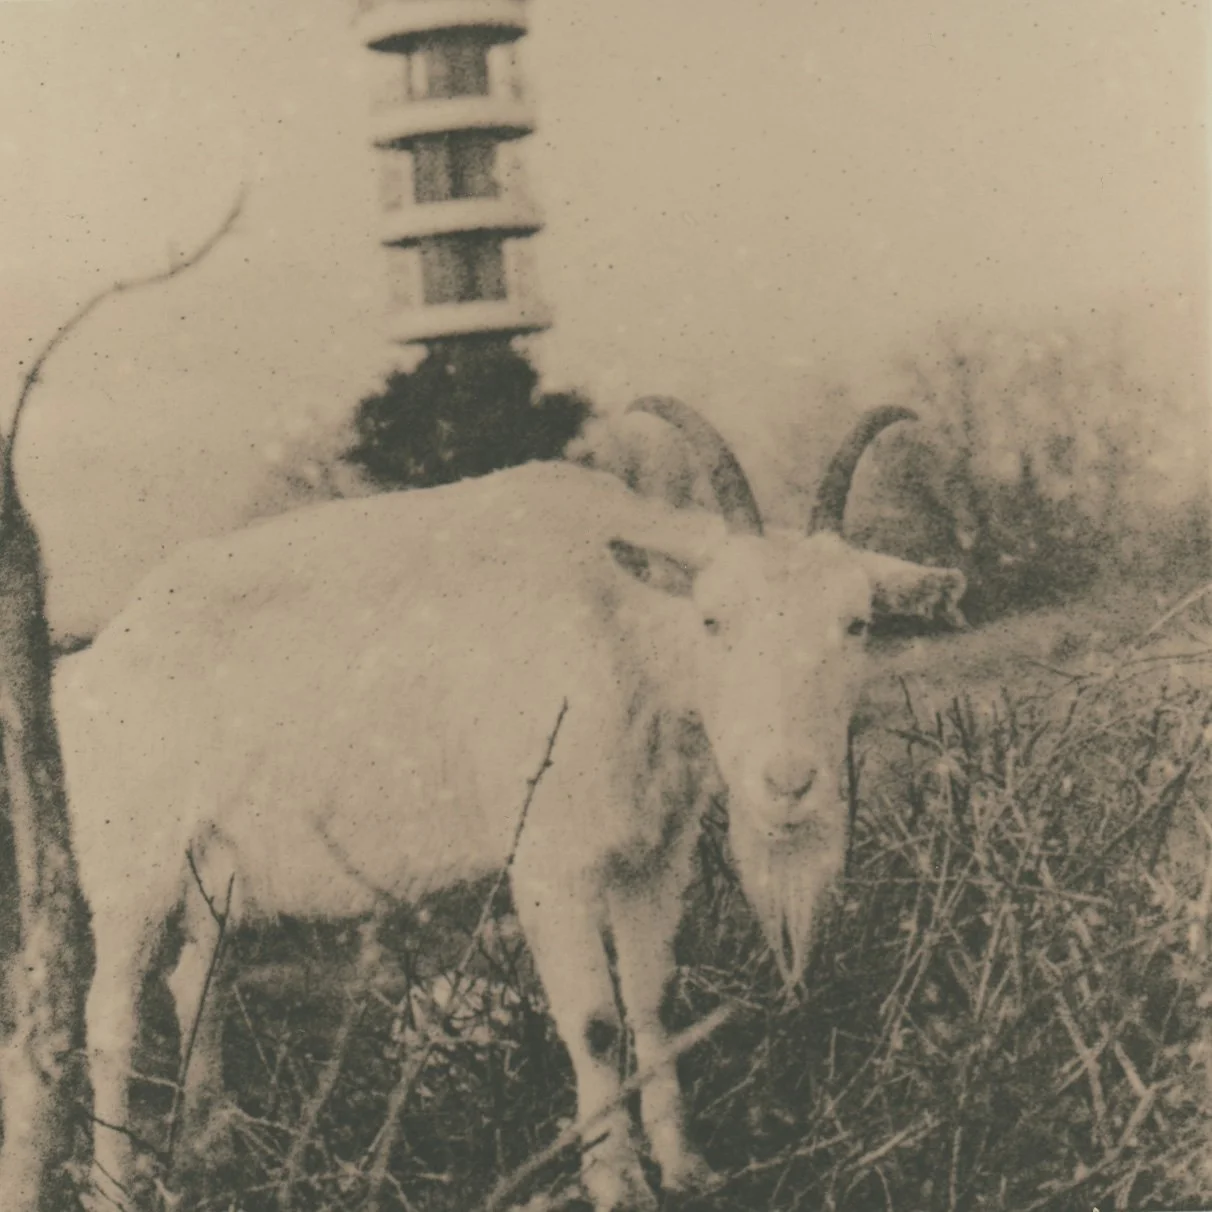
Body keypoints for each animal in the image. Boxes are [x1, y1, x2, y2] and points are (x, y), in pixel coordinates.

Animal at [54, 398, 967, 1211]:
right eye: (713, 620)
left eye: (856, 624)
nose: (790, 781)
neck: (621, 628)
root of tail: (98, 658)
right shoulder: (550, 864)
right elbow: (596, 1020)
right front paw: (617, 1182)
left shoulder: (653, 857)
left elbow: (653, 1001)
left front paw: (687, 1168)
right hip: (131, 863)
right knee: (111, 1019)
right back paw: (114, 1188)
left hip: (218, 871)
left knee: (196, 982)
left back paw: (204, 1153)